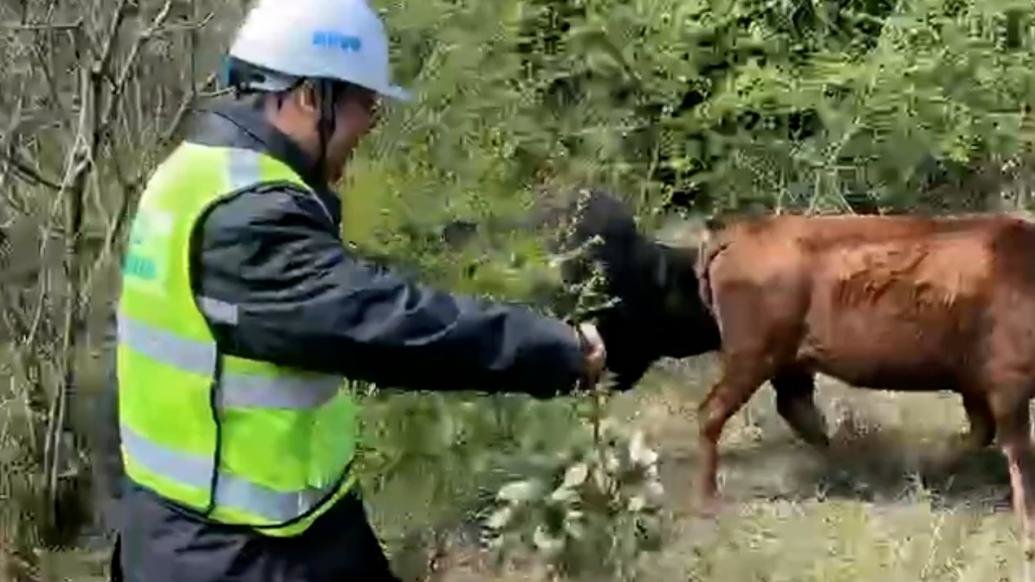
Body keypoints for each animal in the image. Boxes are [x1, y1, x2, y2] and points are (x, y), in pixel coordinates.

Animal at [699, 210, 1035, 546]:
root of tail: (740, 231)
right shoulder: (1008, 384)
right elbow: (1018, 451)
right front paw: (1028, 526)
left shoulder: (975, 385)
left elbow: (982, 433)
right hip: (753, 358)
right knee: (713, 412)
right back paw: (709, 500)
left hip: (790, 364)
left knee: (798, 410)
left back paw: (852, 471)